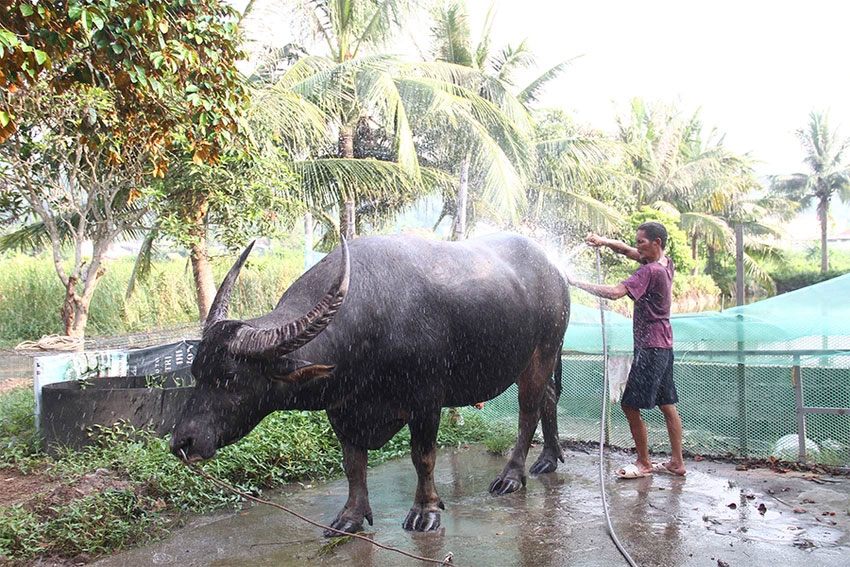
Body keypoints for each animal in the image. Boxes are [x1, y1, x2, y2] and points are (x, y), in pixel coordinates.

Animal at [171, 233, 568, 536]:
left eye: (230, 378)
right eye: (196, 372)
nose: (182, 443)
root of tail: (555, 271)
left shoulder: (426, 401)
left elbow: (423, 457)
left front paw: (426, 510)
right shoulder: (341, 409)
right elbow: (353, 464)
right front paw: (350, 517)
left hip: (542, 351)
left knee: (529, 410)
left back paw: (511, 476)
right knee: (549, 397)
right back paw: (548, 459)